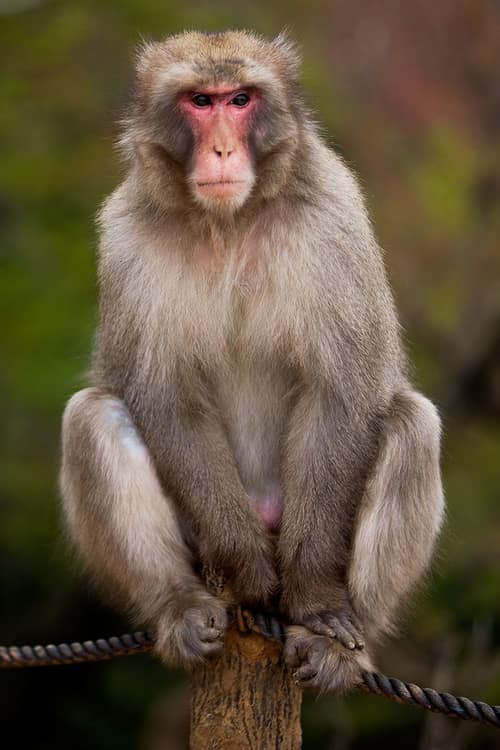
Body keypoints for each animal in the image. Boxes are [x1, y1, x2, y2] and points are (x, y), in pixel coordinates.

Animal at [60, 30, 445, 692]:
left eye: (239, 99)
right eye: (200, 100)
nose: (220, 147)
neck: (230, 222)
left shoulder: (332, 219)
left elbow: (340, 393)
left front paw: (316, 601)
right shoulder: (126, 239)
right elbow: (166, 400)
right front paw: (248, 574)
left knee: (411, 423)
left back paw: (342, 643)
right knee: (91, 416)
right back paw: (181, 606)